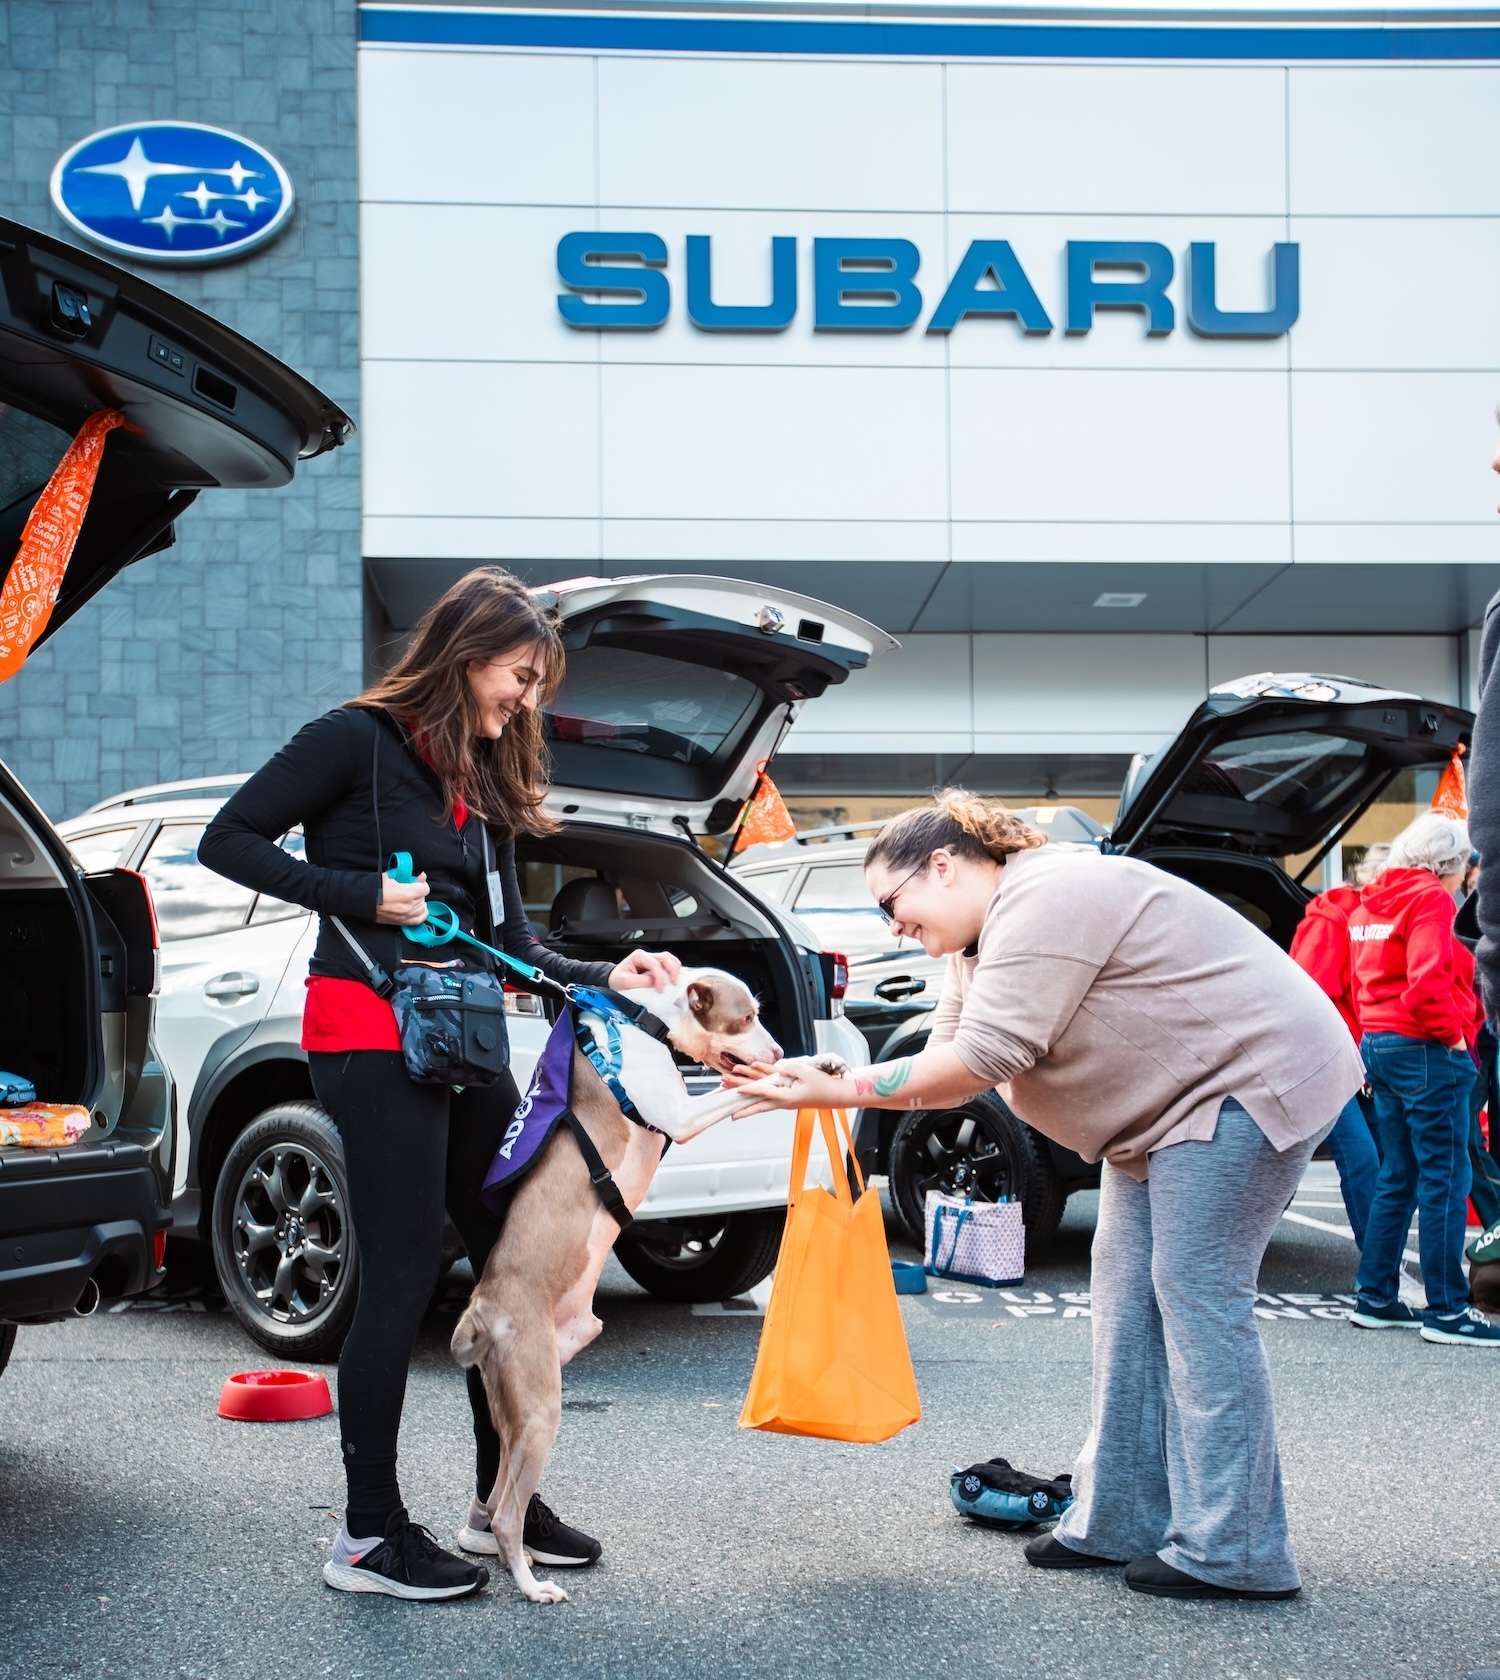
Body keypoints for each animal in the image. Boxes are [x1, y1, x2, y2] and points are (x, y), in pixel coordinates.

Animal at [450, 960, 843, 1599]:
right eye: (745, 1017)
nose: (781, 1045)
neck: (643, 1021)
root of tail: (481, 1307)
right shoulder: (682, 1117)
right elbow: (745, 1087)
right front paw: (793, 1075)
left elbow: (756, 1080)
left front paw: (820, 1064)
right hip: (539, 1408)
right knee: (507, 1513)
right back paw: (533, 1586)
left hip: (523, 1400)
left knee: (497, 1492)